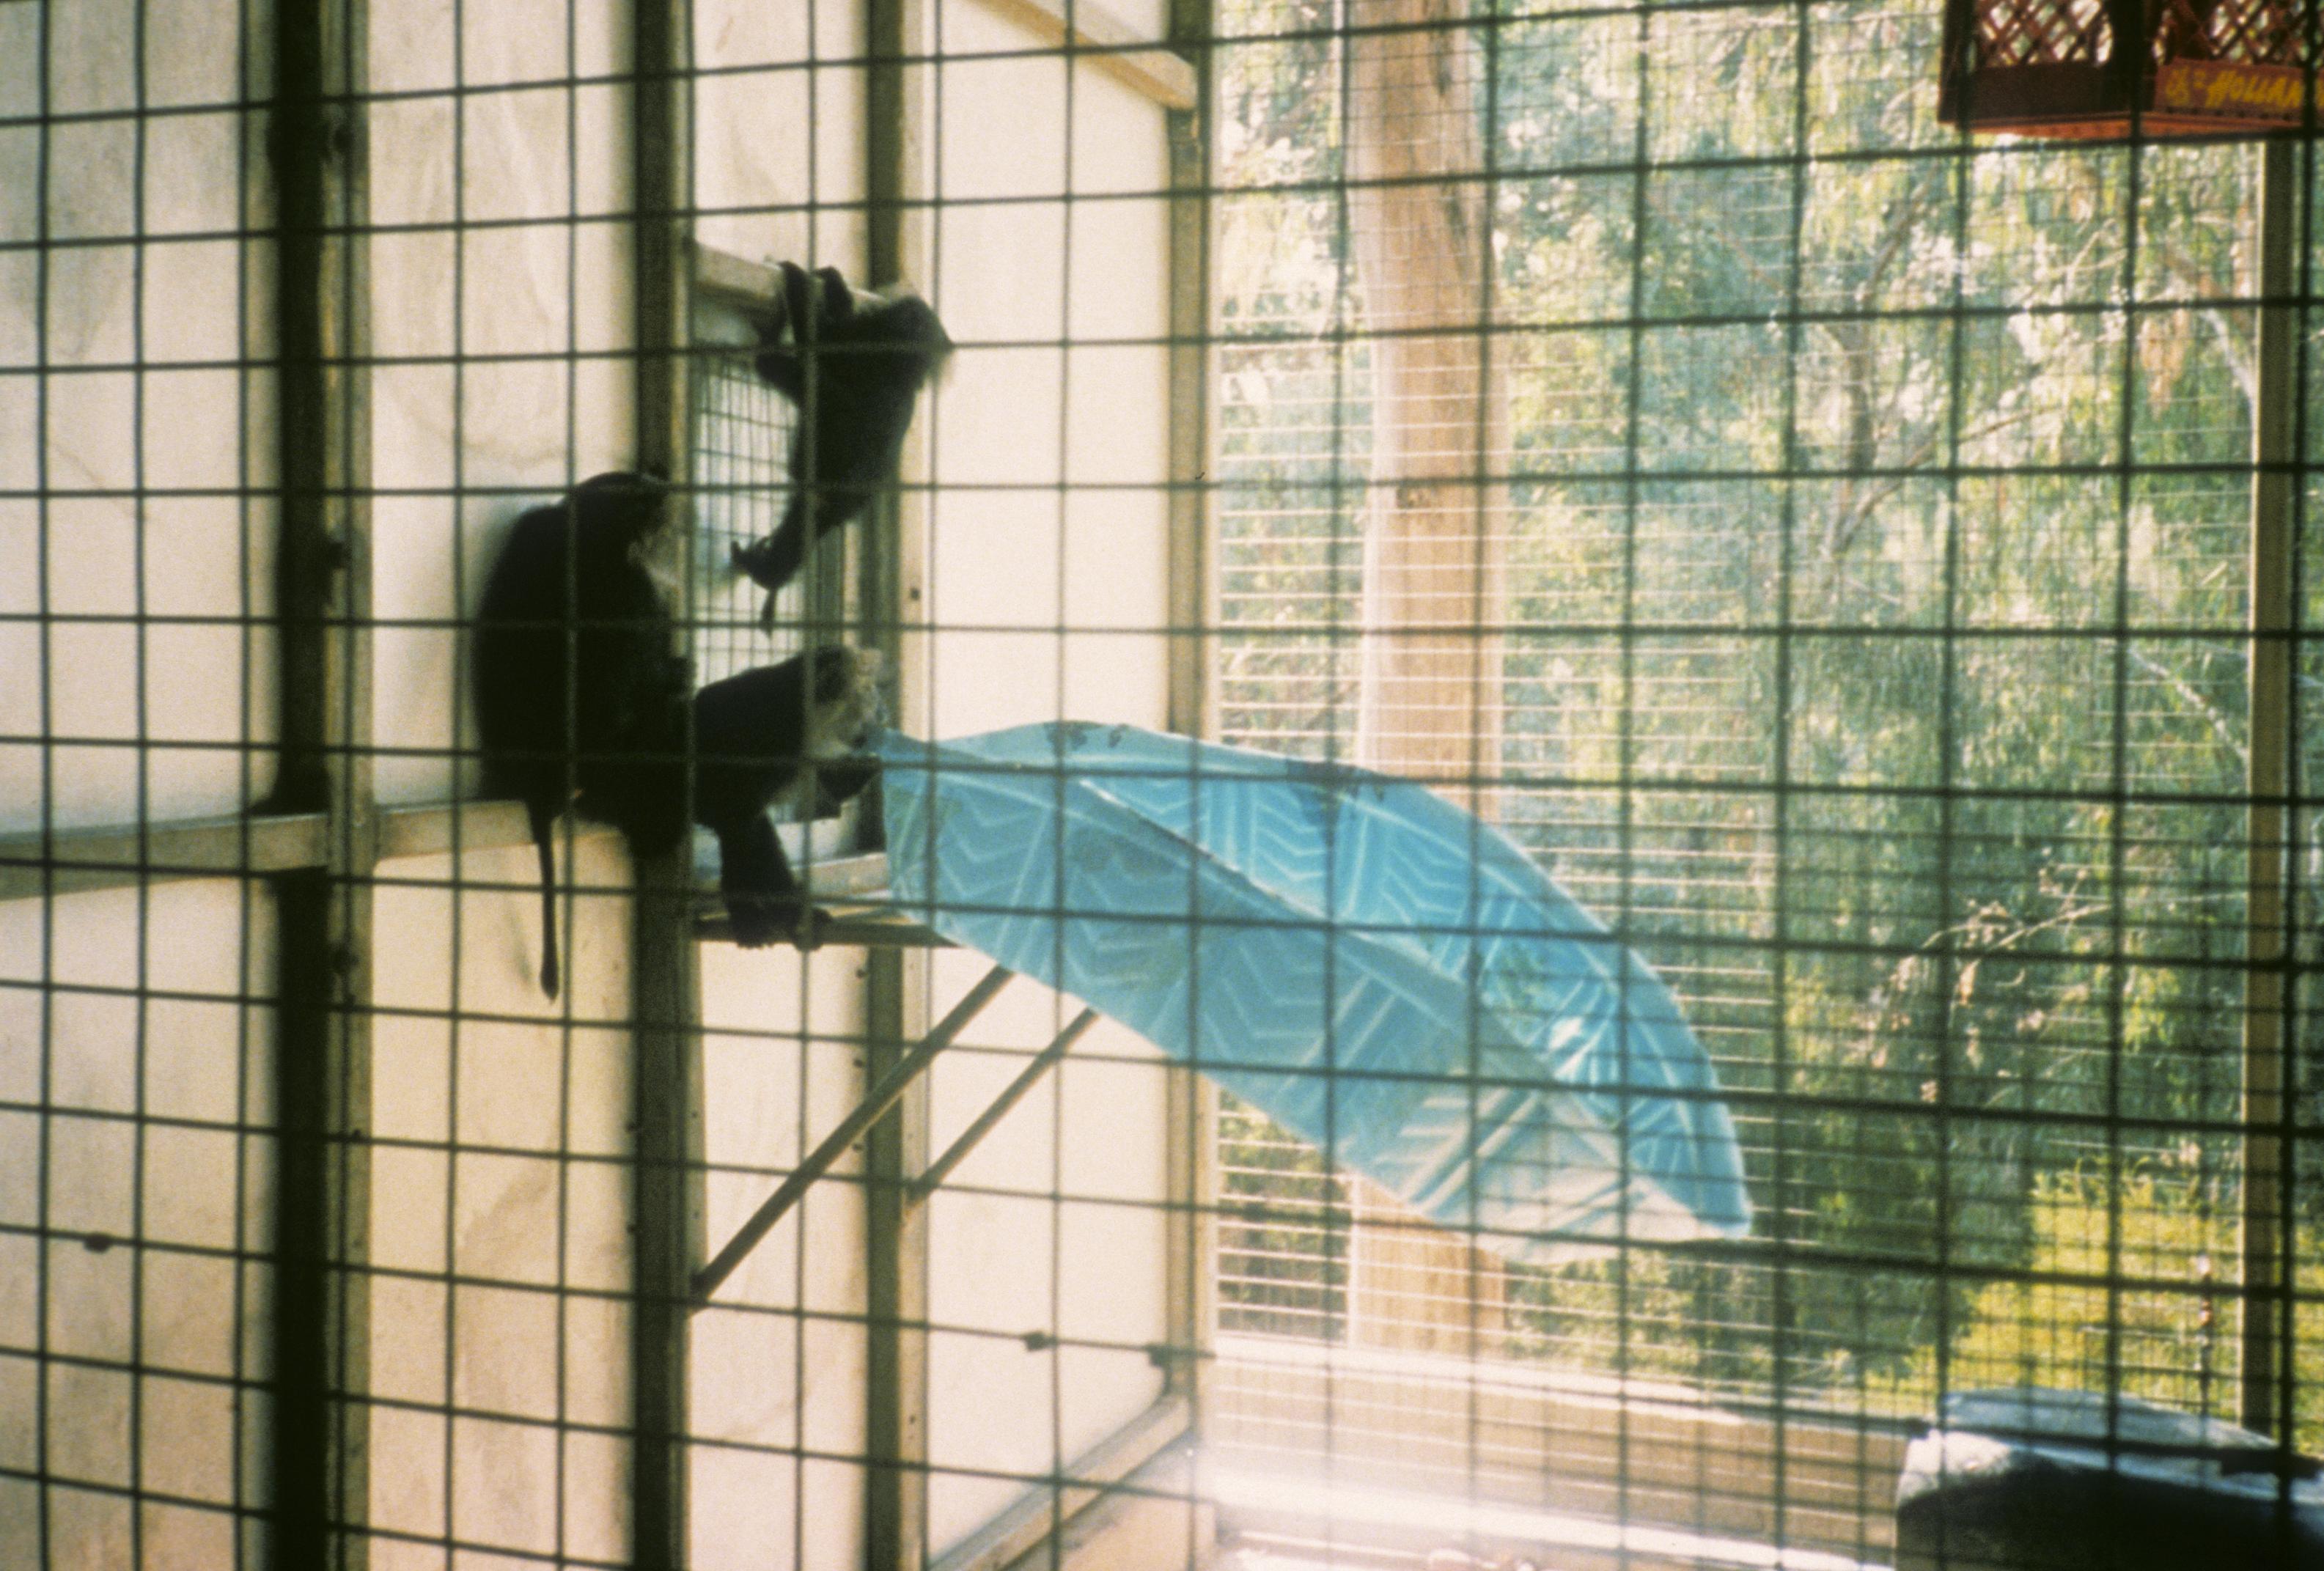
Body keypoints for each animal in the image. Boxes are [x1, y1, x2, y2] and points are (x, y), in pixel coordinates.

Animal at [473, 470, 686, 999]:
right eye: (642, 500)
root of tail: (540, 784)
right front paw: (674, 677)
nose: (663, 488)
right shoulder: (631, 594)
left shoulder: (534, 530)